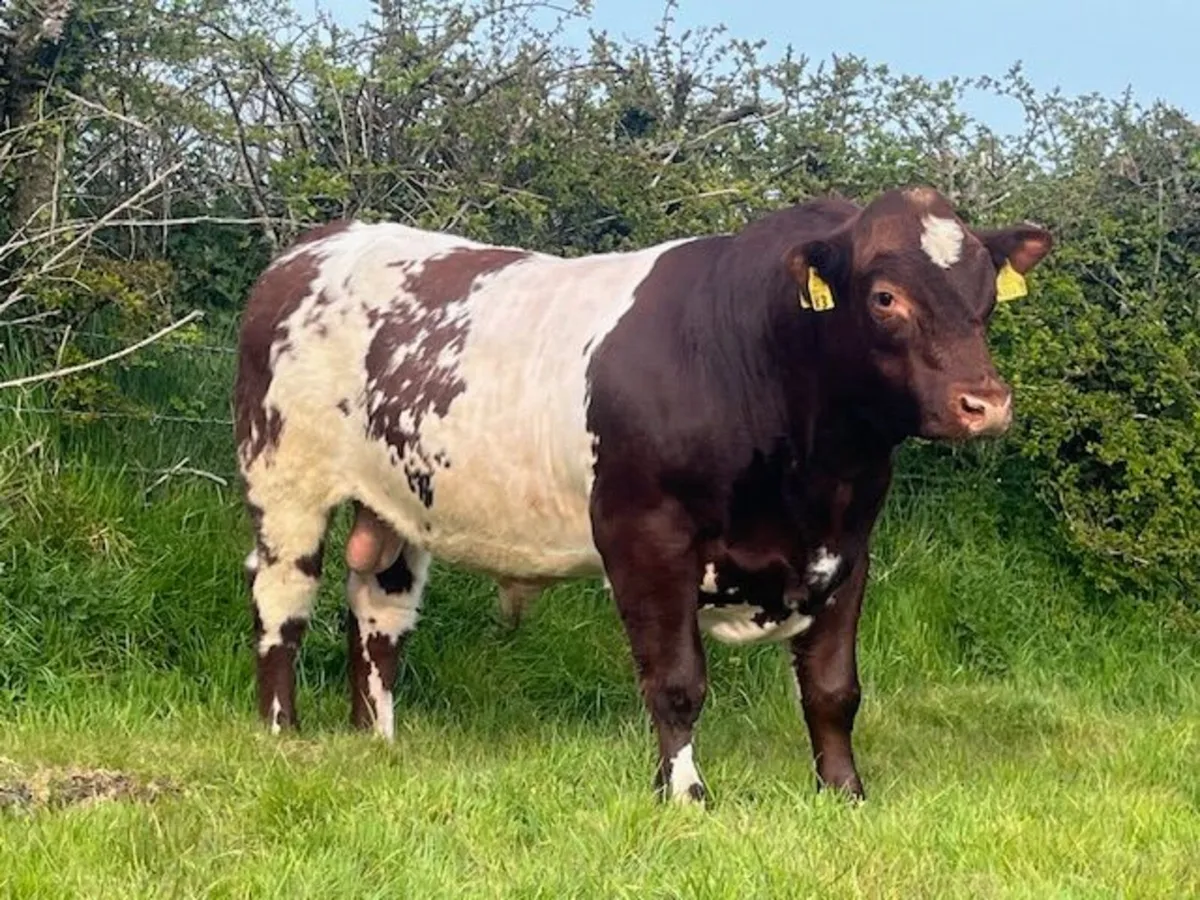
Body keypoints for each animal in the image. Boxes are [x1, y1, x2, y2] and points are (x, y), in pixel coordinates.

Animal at [234, 186, 1052, 803]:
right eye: (886, 297)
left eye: (987, 297)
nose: (985, 404)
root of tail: (317, 245)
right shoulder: (647, 537)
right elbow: (678, 681)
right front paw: (685, 794)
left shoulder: (848, 547)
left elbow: (832, 688)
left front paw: (844, 794)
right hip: (284, 482)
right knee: (283, 604)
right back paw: (281, 733)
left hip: (396, 504)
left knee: (378, 616)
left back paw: (378, 741)